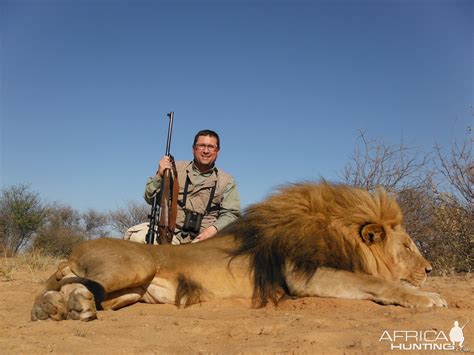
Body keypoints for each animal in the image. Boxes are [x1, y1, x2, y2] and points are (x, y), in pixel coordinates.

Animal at [31, 182, 446, 322]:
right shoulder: (302, 275)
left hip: (131, 292)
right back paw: (62, 308)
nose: (429, 269)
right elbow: (374, 282)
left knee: (77, 287)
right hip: (135, 265)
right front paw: (428, 297)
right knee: (71, 285)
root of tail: (75, 247)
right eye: (407, 246)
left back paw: (61, 308)